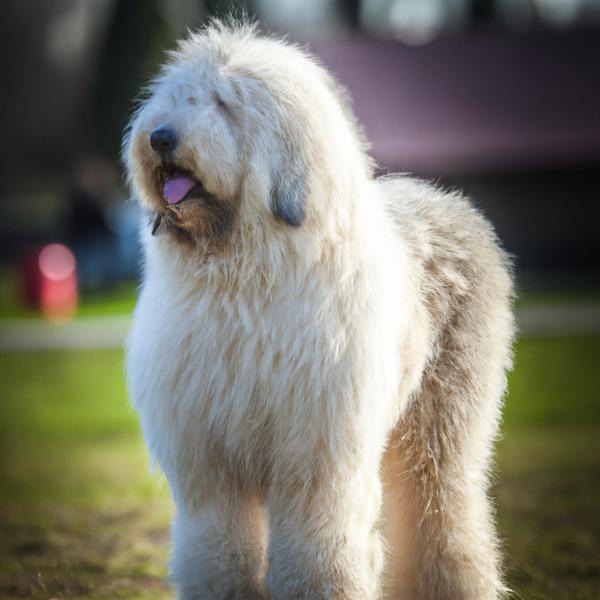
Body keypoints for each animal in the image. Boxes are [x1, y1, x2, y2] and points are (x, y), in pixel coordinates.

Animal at [123, 19, 516, 600]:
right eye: (176, 96)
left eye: (224, 102)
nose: (160, 137)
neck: (243, 279)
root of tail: (449, 201)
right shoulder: (211, 466)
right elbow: (218, 547)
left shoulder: (317, 458)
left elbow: (317, 551)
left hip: (444, 422)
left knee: (444, 507)